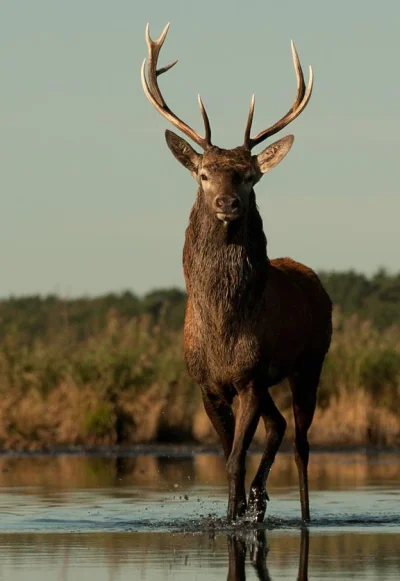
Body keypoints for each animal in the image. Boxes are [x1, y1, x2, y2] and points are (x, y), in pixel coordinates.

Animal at [141, 22, 332, 524]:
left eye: (249, 175)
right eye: (204, 174)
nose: (228, 203)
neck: (223, 329)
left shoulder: (248, 378)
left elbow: (233, 460)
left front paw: (237, 516)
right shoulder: (210, 385)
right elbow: (231, 455)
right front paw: (241, 510)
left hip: (310, 363)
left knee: (302, 443)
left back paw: (303, 513)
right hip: (270, 381)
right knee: (279, 425)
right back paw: (260, 498)